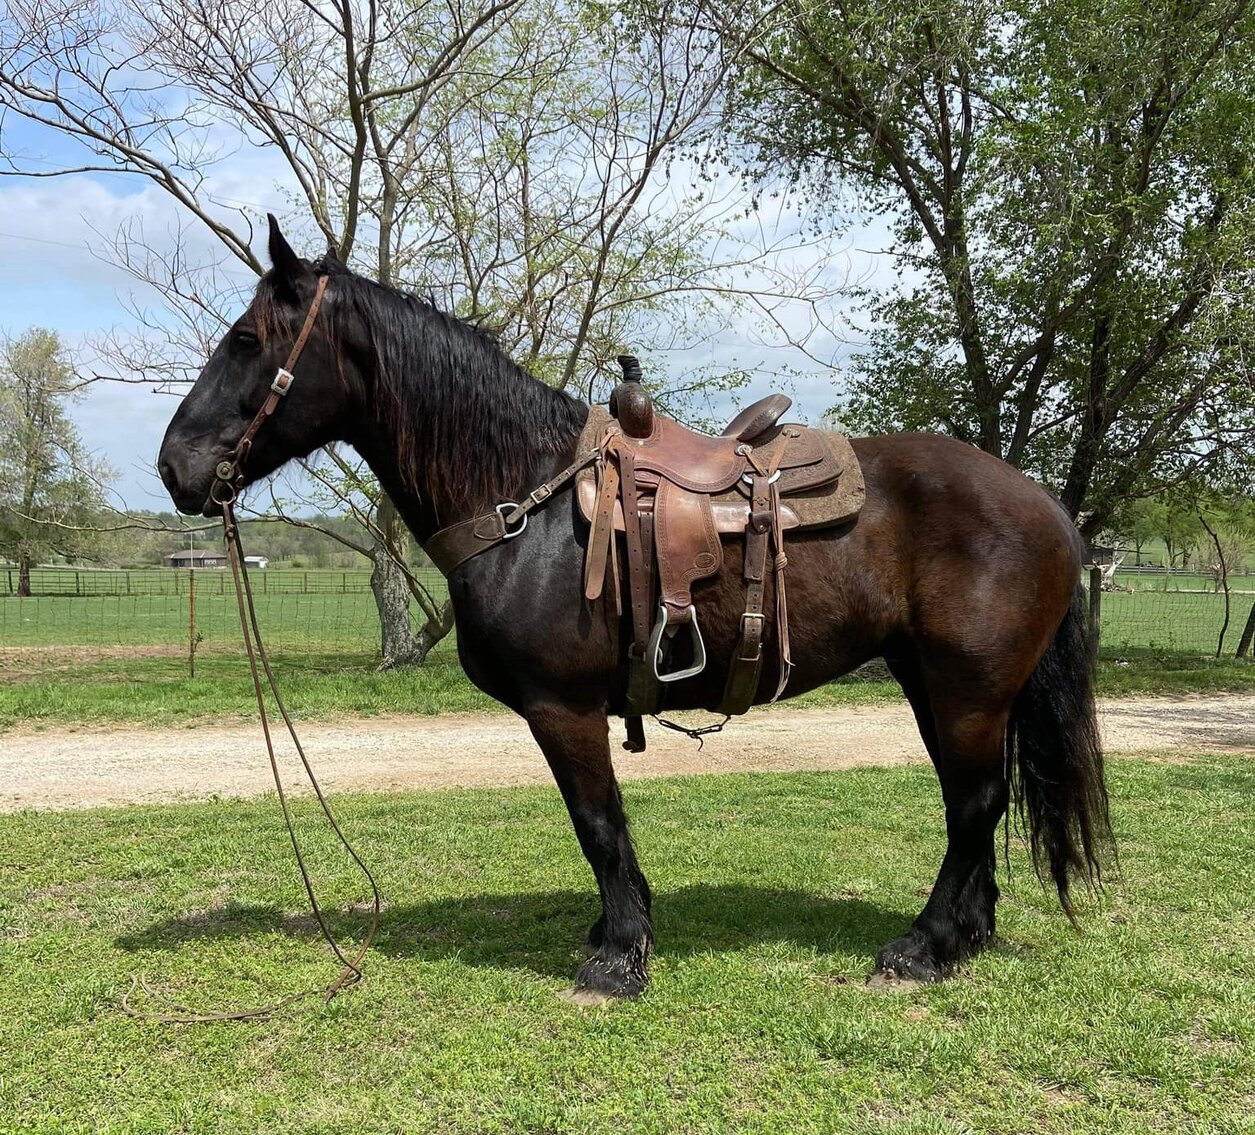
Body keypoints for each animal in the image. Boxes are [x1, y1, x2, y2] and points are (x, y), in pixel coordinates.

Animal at [158, 217, 1111, 999]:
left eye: (246, 338)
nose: (175, 467)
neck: (524, 499)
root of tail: (1044, 503)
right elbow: (604, 829)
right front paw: (621, 932)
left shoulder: (563, 709)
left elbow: (598, 824)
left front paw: (617, 957)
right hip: (936, 686)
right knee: (970, 802)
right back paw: (965, 934)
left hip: (968, 690)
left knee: (973, 803)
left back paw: (924, 946)